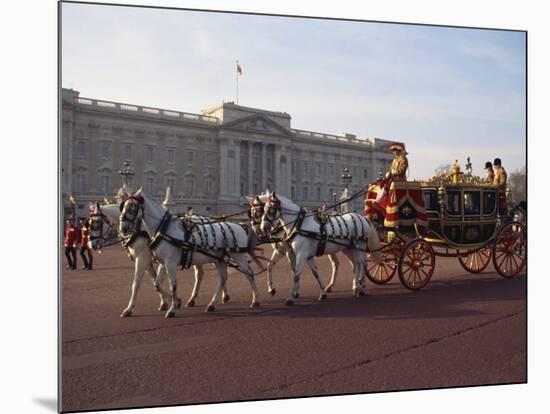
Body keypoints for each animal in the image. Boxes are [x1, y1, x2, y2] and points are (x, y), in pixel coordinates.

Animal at [119, 189, 260, 318]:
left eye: (133, 207)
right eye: (123, 207)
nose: (123, 229)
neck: (163, 229)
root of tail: (240, 225)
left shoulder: (167, 262)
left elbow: (172, 285)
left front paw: (172, 308)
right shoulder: (162, 263)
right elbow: (157, 284)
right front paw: (175, 302)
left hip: (238, 257)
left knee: (249, 274)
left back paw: (255, 300)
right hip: (219, 259)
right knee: (222, 279)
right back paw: (212, 304)